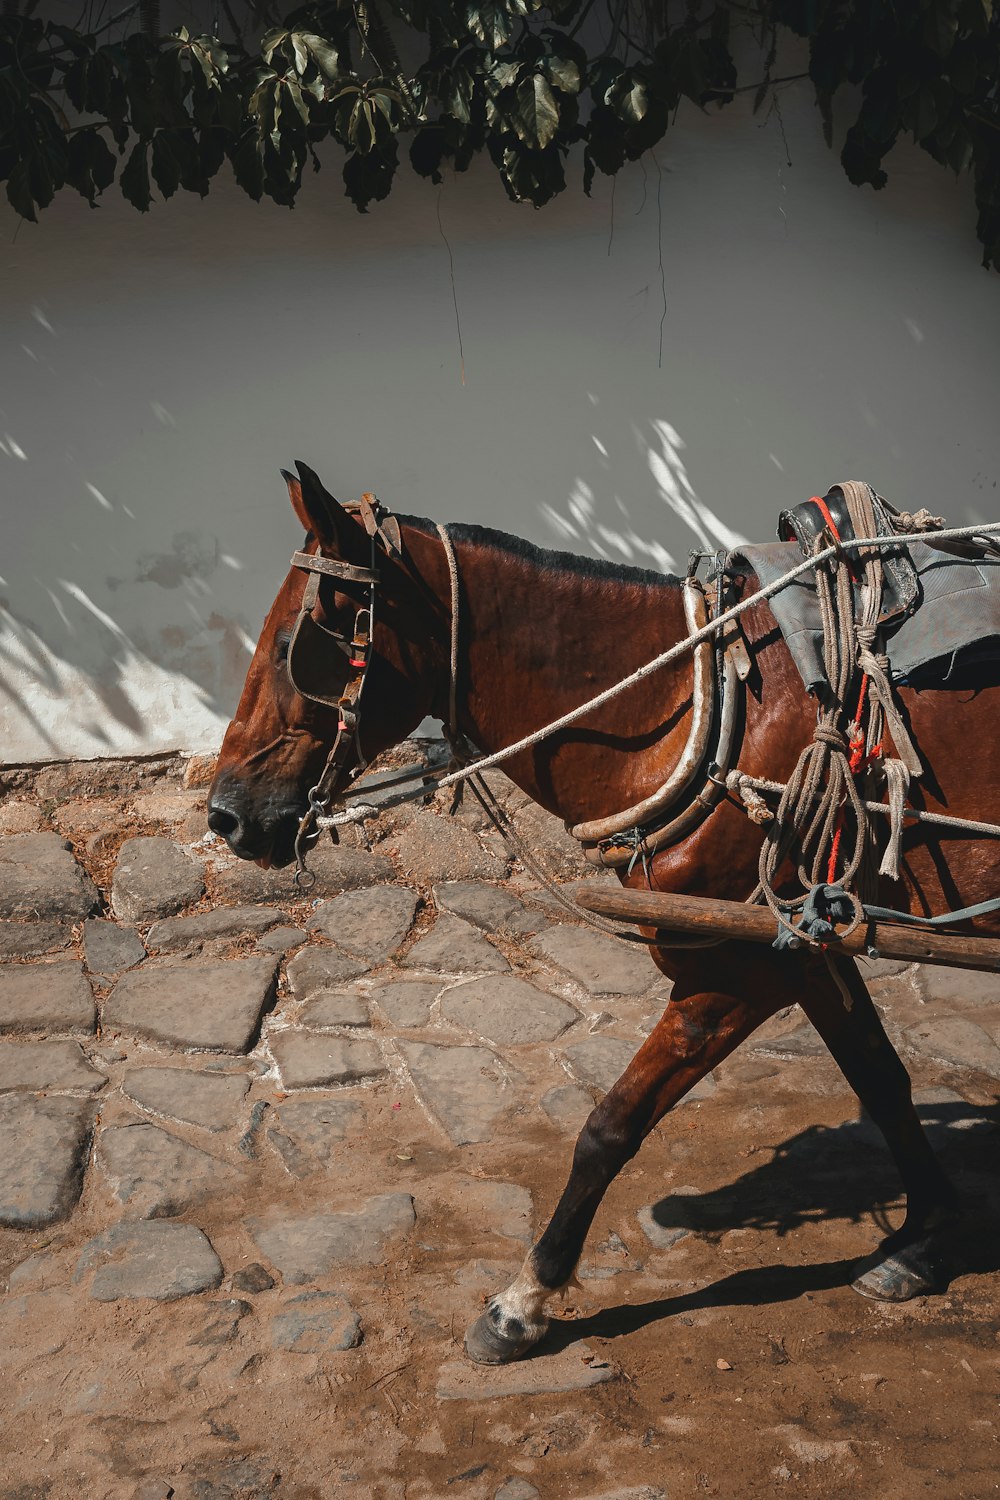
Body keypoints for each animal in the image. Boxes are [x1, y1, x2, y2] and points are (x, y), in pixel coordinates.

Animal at [206, 462, 995, 1368]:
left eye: (297, 644)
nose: (226, 816)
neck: (701, 702)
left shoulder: (736, 969)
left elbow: (611, 1125)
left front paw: (524, 1299)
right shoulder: (805, 937)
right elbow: (882, 1077)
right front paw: (925, 1238)